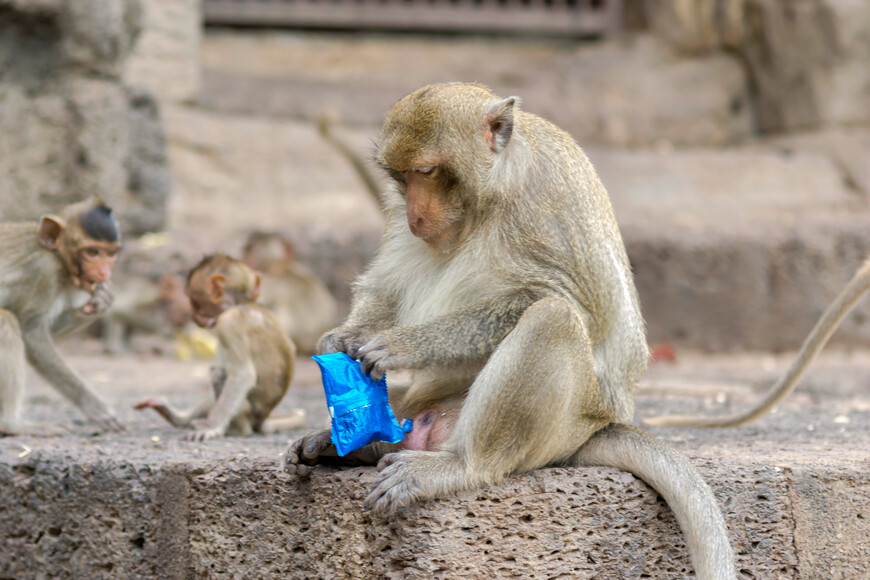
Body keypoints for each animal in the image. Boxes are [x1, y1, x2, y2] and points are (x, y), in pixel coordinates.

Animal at [132, 254, 304, 440]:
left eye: (194, 302)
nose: (192, 316)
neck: (242, 303)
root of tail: (263, 419)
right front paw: (180, 416)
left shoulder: (228, 323)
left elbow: (242, 374)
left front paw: (211, 427)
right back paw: (178, 417)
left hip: (246, 413)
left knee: (218, 373)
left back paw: (236, 429)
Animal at [284, 82, 736, 580]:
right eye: (401, 177)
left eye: (427, 171)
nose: (415, 215)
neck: (488, 197)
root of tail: (602, 425)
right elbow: (386, 284)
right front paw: (344, 339)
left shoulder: (543, 203)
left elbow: (566, 301)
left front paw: (403, 345)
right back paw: (351, 445)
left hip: (562, 428)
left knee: (553, 318)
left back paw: (461, 466)